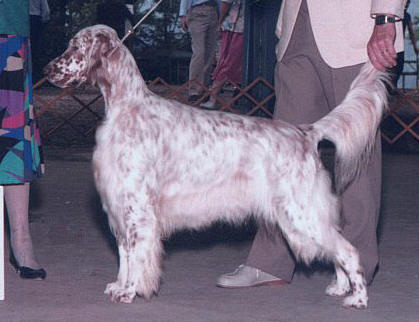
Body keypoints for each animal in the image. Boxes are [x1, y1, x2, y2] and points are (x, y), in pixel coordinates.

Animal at [44, 24, 388, 306]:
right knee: (337, 248)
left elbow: (136, 255)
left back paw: (357, 298)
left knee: (348, 250)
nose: (47, 69)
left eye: (75, 46)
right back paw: (340, 287)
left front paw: (129, 291)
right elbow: (124, 255)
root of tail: (307, 132)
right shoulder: (118, 204)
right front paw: (118, 285)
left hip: (302, 213)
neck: (128, 107)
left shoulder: (136, 208)